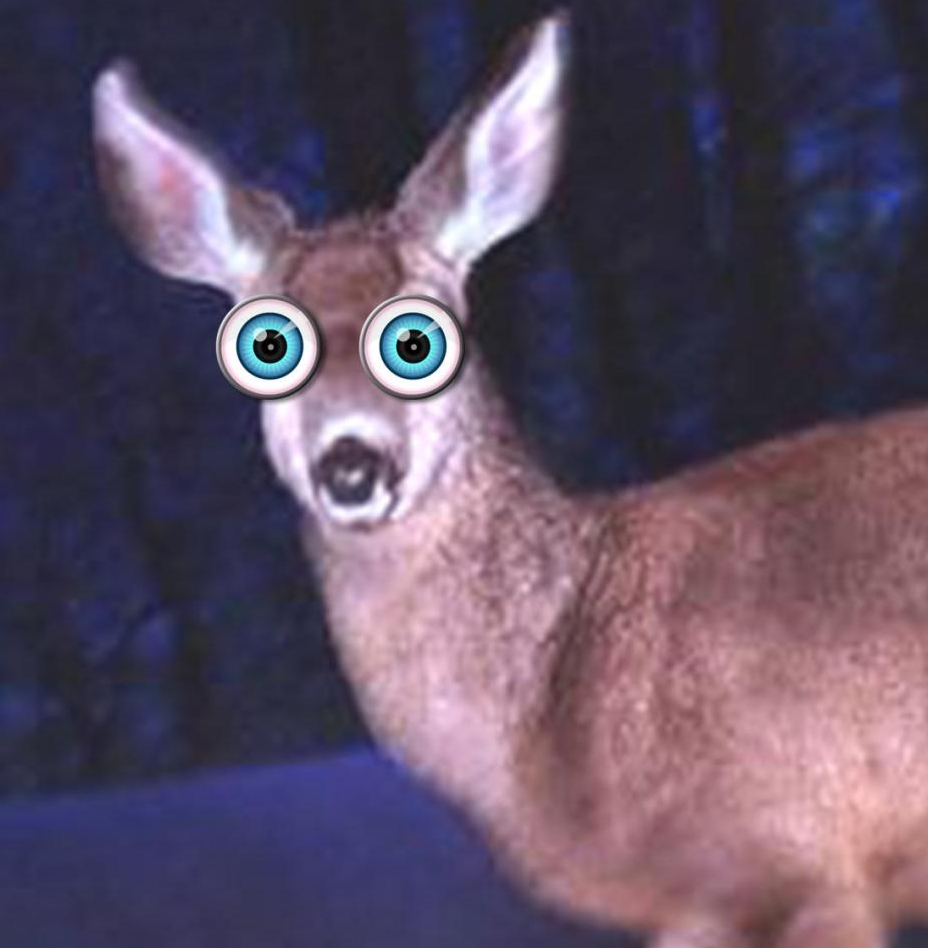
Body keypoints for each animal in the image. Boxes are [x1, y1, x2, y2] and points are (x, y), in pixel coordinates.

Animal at [91, 10, 928, 947]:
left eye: (416, 339)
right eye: (264, 343)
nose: (352, 464)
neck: (562, 685)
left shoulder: (797, 856)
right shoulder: (696, 908)